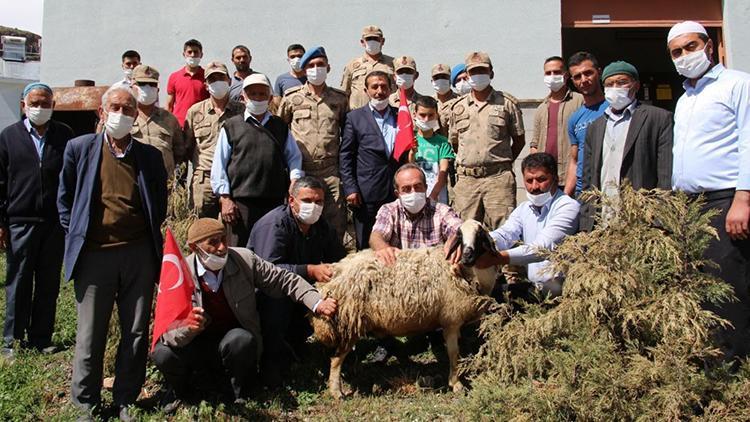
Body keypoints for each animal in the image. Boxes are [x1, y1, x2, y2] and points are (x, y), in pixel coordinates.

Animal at [312, 219, 500, 400]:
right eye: (460, 237)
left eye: (480, 235)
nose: (467, 256)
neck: (463, 271)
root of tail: (332, 274)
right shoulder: (451, 320)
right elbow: (454, 354)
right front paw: (456, 384)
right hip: (348, 322)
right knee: (336, 359)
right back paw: (337, 392)